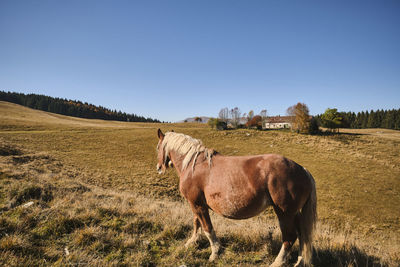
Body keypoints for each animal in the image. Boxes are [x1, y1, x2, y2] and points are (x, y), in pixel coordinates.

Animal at [155, 129, 316, 266]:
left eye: (158, 147)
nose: (158, 167)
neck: (193, 165)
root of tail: (303, 170)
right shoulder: (195, 203)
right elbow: (197, 223)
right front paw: (192, 242)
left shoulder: (198, 204)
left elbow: (207, 227)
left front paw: (215, 253)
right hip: (294, 213)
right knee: (302, 234)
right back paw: (299, 261)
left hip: (285, 213)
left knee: (290, 237)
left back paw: (278, 262)